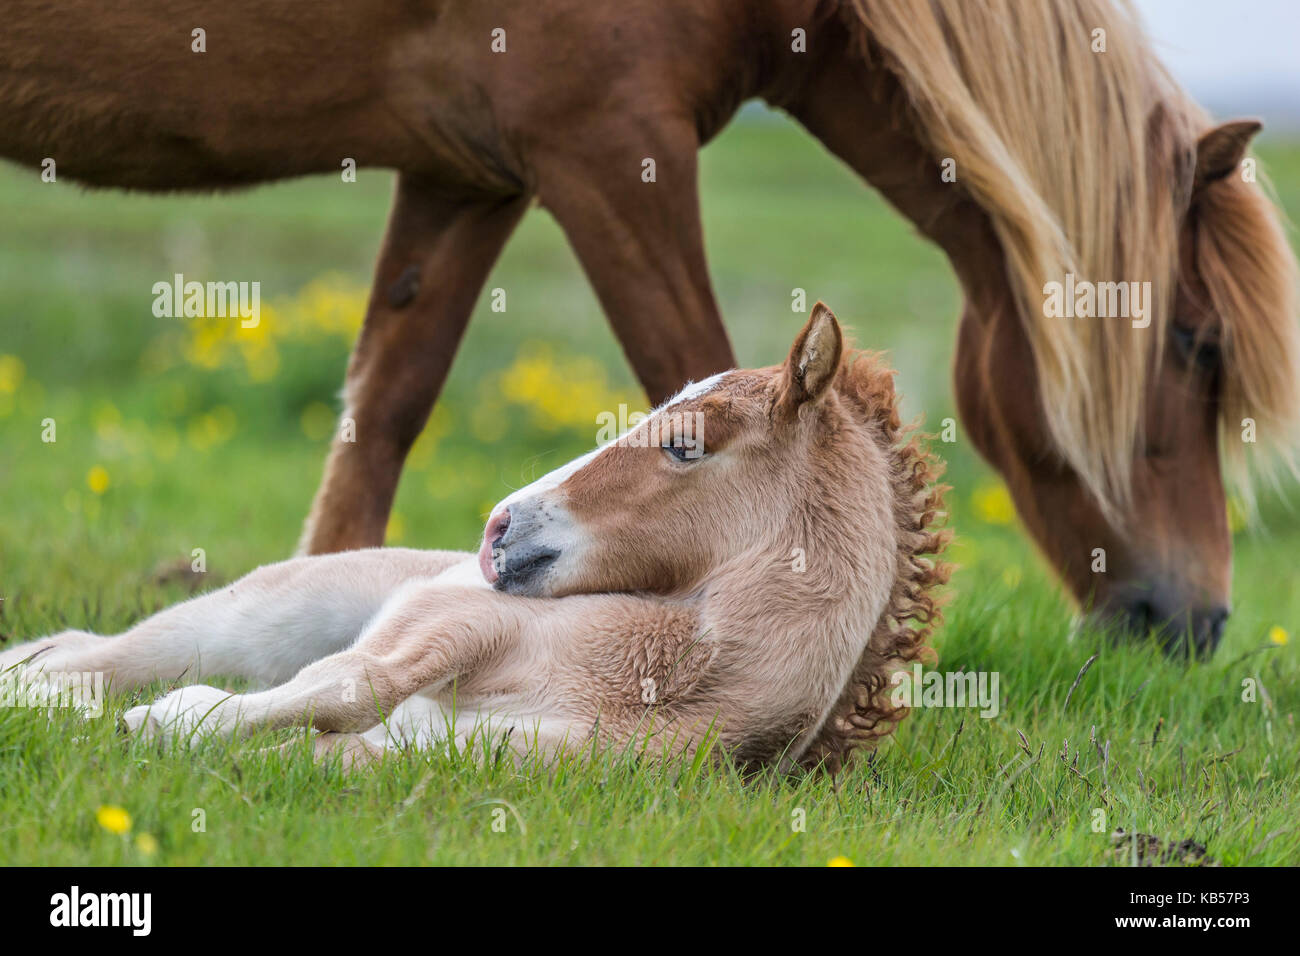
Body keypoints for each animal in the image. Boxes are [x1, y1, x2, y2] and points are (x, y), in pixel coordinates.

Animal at [0, 0, 1294, 658]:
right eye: (1196, 344)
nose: (1196, 621)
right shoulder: (608, 146)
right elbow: (703, 368)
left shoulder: (467, 175)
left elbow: (385, 403)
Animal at [2, 310, 956, 775]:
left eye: (686, 444)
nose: (500, 529)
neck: (668, 682)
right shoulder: (447, 616)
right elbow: (355, 682)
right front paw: (167, 720)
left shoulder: (487, 763)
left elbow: (334, 752)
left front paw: (180, 729)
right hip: (262, 615)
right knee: (104, 653)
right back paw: (54, 695)